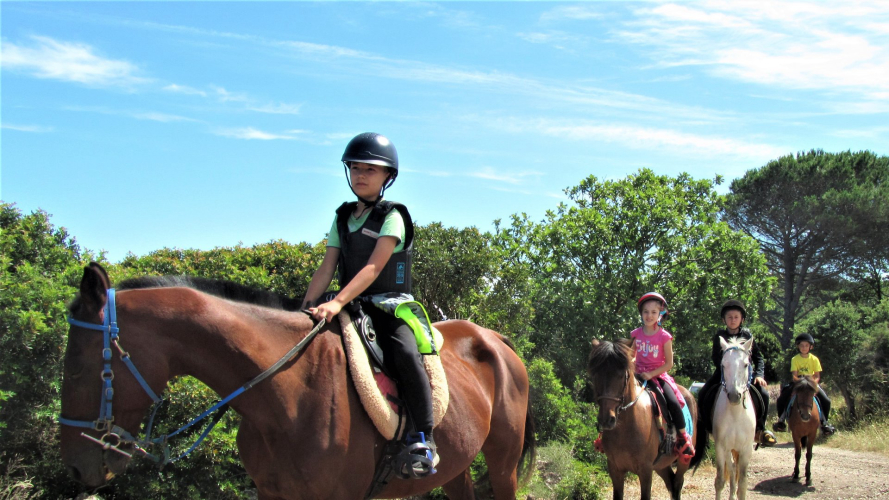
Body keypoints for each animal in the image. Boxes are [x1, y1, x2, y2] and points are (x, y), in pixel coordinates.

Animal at [60, 263, 536, 499]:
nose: (77, 468)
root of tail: (493, 339)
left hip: (503, 462)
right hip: (456, 464)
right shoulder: (273, 494)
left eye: (78, 366)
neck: (286, 395)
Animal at [587, 338, 697, 500]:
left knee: (677, 484)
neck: (626, 428)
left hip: (684, 459)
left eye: (622, 375)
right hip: (661, 464)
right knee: (670, 482)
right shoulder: (615, 469)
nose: (607, 419)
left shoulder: (645, 470)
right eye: (595, 374)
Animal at [693, 337, 756, 500]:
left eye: (745, 364)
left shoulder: (746, 449)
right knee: (732, 469)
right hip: (728, 449)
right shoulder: (721, 447)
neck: (735, 414)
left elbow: (743, 485)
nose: (734, 396)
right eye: (723, 364)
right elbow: (720, 480)